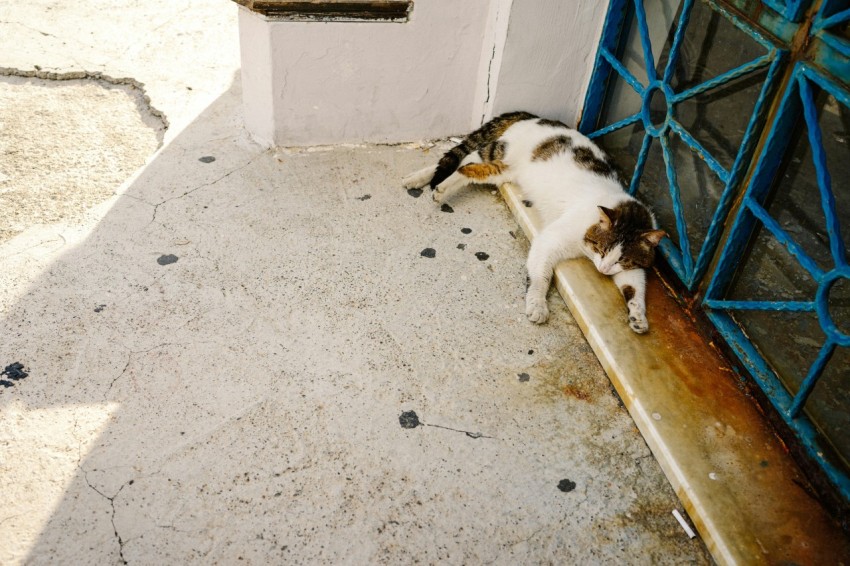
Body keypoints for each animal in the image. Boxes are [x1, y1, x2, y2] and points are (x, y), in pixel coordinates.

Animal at [400, 111, 664, 336]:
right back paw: (438, 187)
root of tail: (534, 117)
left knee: (470, 164)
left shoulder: (633, 267)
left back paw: (420, 179)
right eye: (601, 248)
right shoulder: (550, 239)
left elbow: (635, 286)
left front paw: (638, 316)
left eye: (621, 259)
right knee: (466, 163)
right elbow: (540, 277)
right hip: (501, 152)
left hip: (504, 169)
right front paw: (537, 304)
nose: (604, 270)